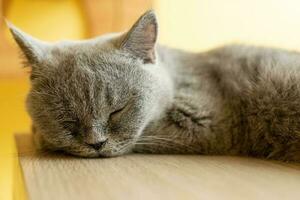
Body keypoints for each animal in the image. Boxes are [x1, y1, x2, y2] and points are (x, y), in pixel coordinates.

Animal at [7, 10, 300, 162]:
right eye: (67, 119)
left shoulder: (205, 120)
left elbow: (139, 136)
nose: (96, 143)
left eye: (118, 111)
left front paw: (39, 135)